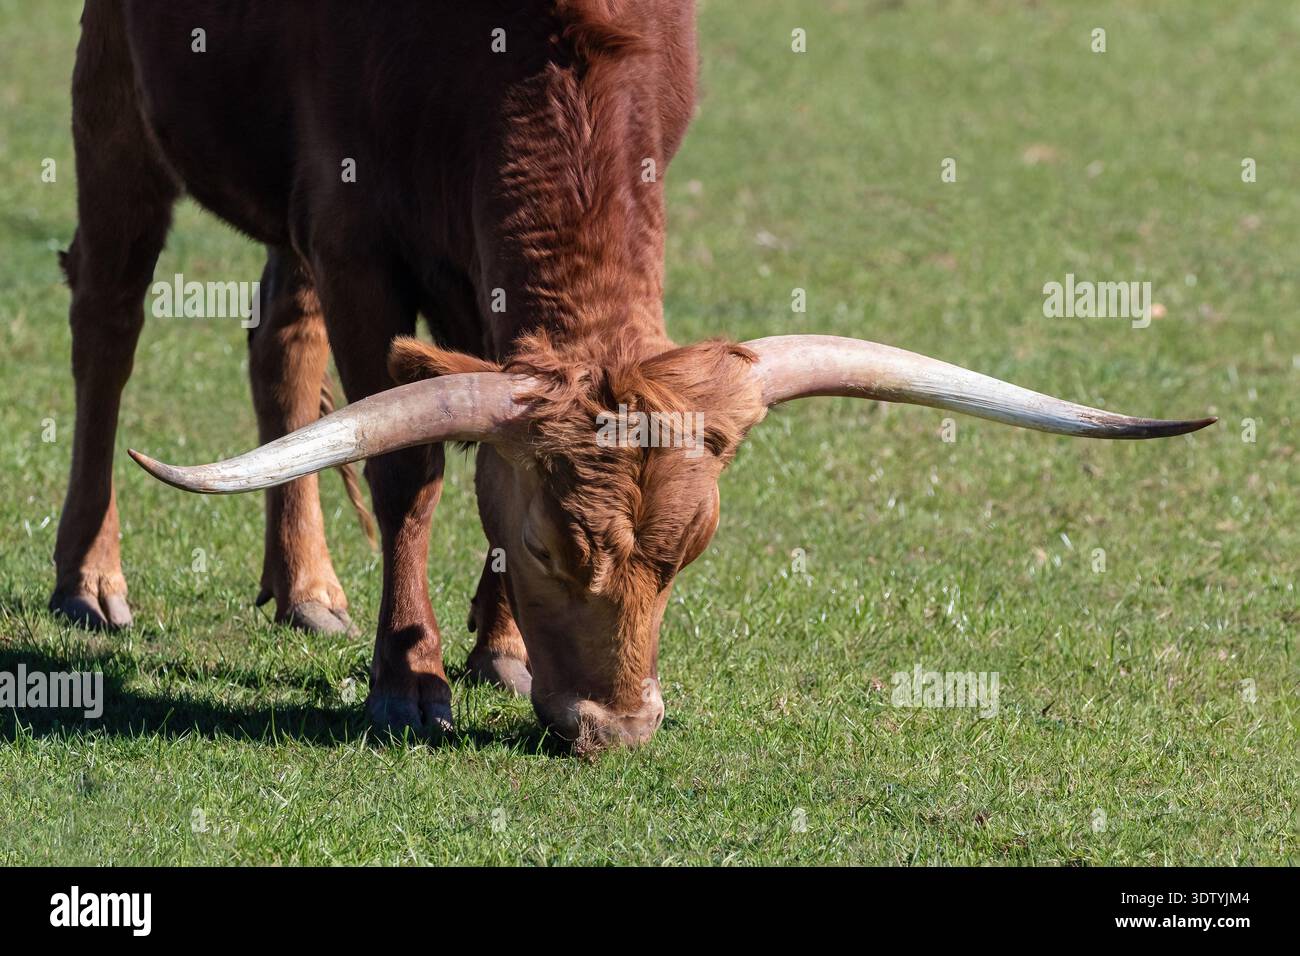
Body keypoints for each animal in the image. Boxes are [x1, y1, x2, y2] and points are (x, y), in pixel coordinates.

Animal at [54, 0, 1213, 751]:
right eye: (546, 548)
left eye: (690, 553)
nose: (618, 728)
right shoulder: (356, 242)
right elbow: (409, 472)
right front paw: (409, 677)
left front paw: (499, 650)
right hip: (116, 93)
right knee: (107, 318)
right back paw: (89, 579)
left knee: (279, 345)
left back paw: (306, 588)